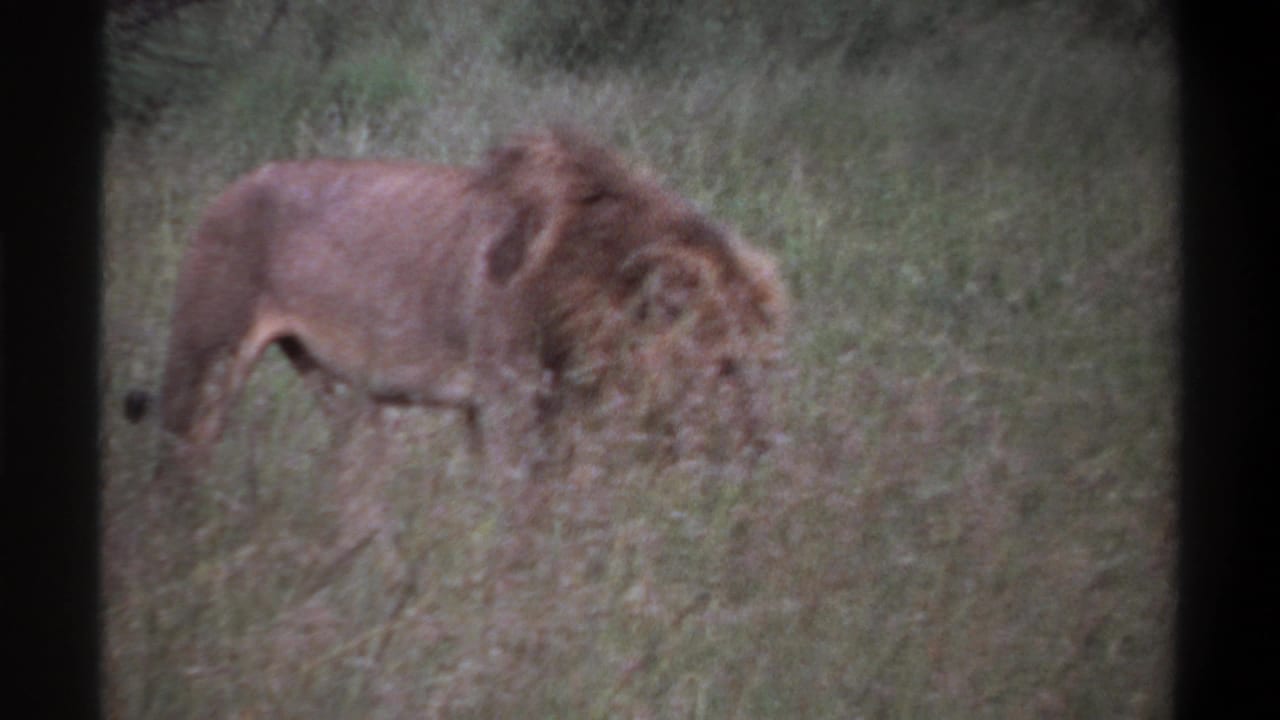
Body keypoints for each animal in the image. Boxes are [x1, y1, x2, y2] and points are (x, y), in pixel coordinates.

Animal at [128, 128, 787, 488]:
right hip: (204, 359)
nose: (760, 455)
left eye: (765, 365)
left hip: (335, 386)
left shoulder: (545, 412)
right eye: (726, 367)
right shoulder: (508, 402)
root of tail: (227, 190)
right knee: (174, 471)